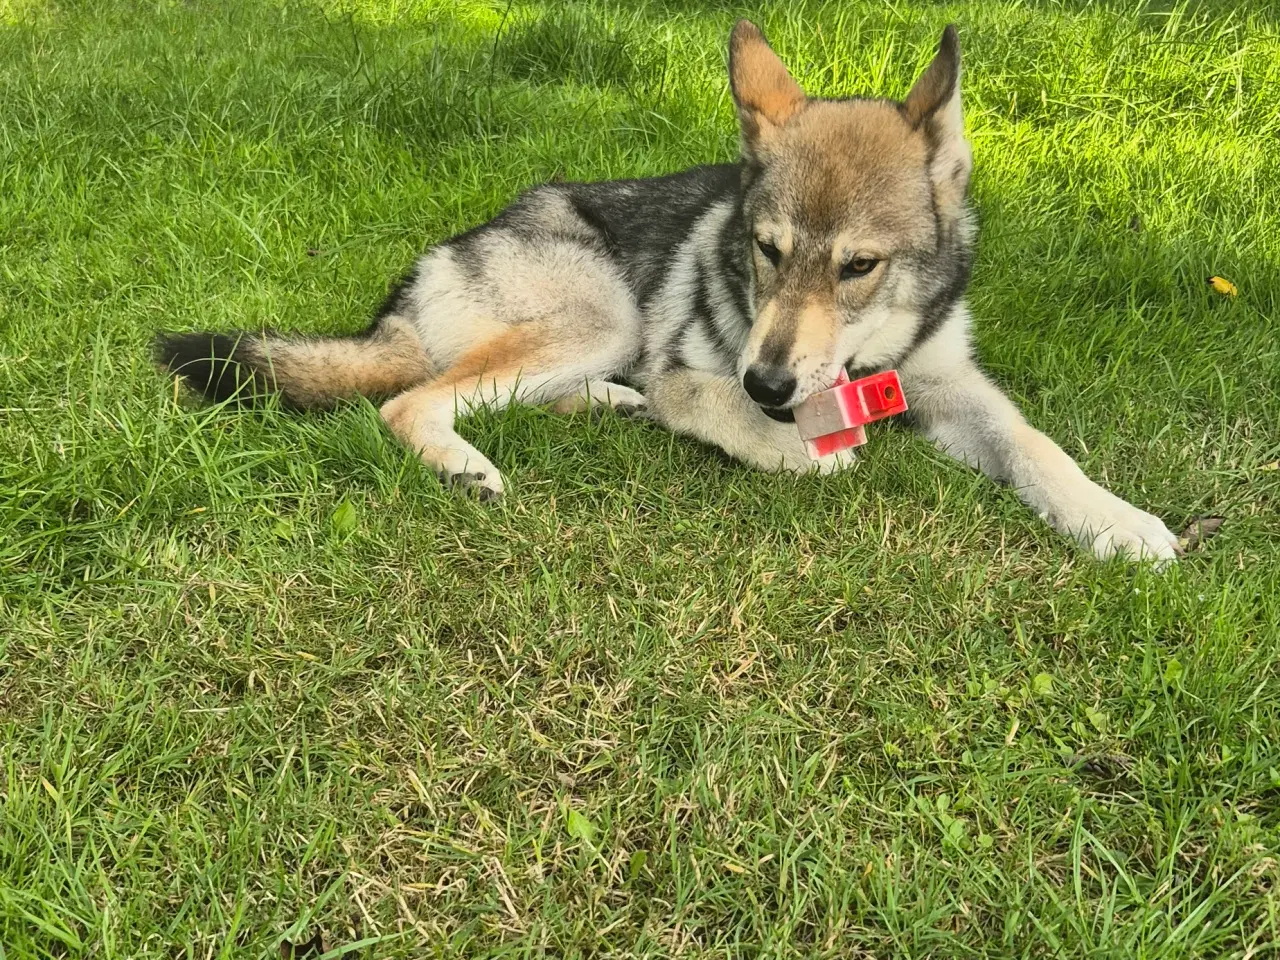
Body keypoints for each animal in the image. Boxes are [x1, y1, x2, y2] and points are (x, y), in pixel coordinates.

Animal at [157, 20, 1177, 563]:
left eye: (858, 266)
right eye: (766, 250)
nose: (770, 383)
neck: (862, 361)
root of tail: (423, 274)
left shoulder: (950, 385)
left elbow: (1036, 447)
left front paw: (1116, 520)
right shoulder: (696, 375)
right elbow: (733, 416)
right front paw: (794, 446)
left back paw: (610, 406)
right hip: (602, 314)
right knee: (412, 402)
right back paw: (466, 462)